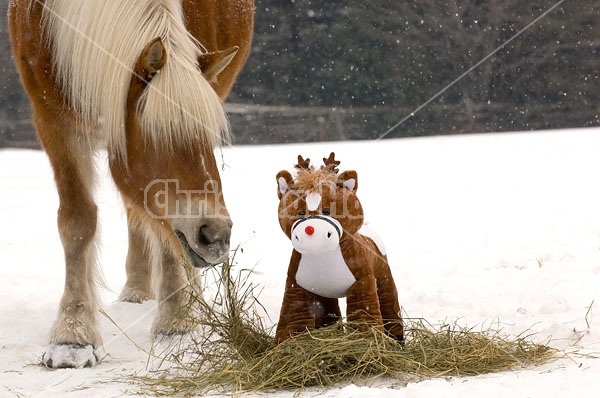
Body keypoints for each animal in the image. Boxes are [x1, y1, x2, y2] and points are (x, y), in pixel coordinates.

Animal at [8, 0, 254, 368]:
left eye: (208, 135)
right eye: (158, 132)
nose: (216, 235)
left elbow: (165, 232)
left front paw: (177, 322)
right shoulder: (53, 119)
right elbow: (77, 222)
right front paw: (72, 336)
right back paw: (136, 292)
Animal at [274, 154, 404, 344]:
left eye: (327, 211)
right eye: (300, 213)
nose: (310, 231)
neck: (322, 255)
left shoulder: (362, 281)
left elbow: (364, 315)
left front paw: (365, 341)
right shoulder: (295, 284)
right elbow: (292, 316)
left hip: (383, 276)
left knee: (388, 302)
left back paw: (397, 339)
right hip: (324, 294)